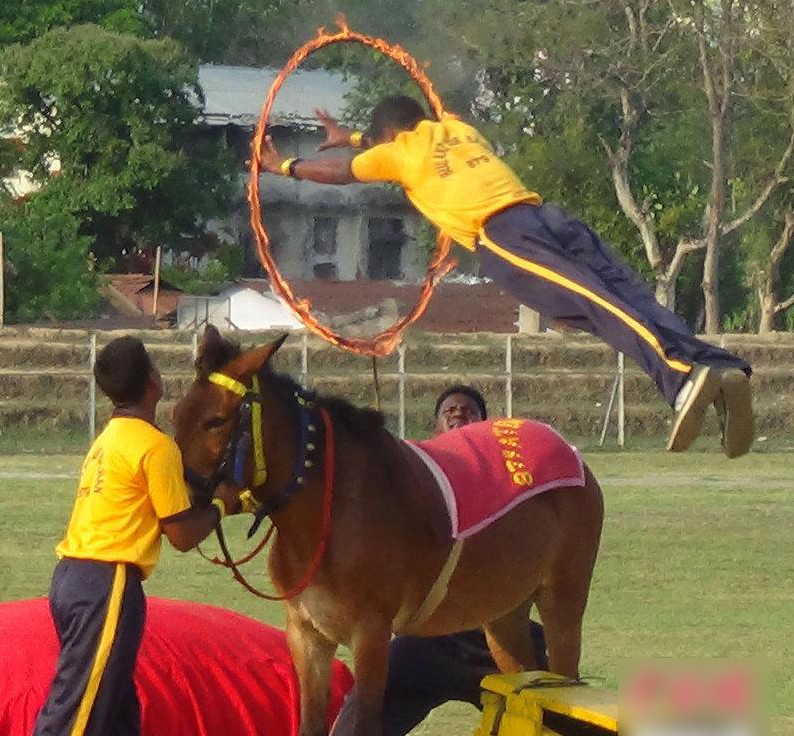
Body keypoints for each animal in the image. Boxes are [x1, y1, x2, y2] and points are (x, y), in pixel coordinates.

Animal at [172, 328, 600, 736]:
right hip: (503, 615)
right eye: (175, 414)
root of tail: (568, 450)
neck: (328, 514)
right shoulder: (307, 635)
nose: (179, 502)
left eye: (215, 421)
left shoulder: (371, 635)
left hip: (563, 599)